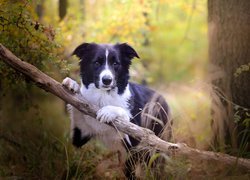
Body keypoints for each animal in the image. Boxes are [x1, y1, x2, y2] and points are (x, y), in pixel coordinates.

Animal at [62, 42, 172, 179]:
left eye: (116, 63)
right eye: (96, 62)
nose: (107, 80)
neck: (104, 96)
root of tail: (163, 98)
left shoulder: (136, 142)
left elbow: (124, 114)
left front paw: (108, 111)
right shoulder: (81, 135)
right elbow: (79, 109)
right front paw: (72, 84)